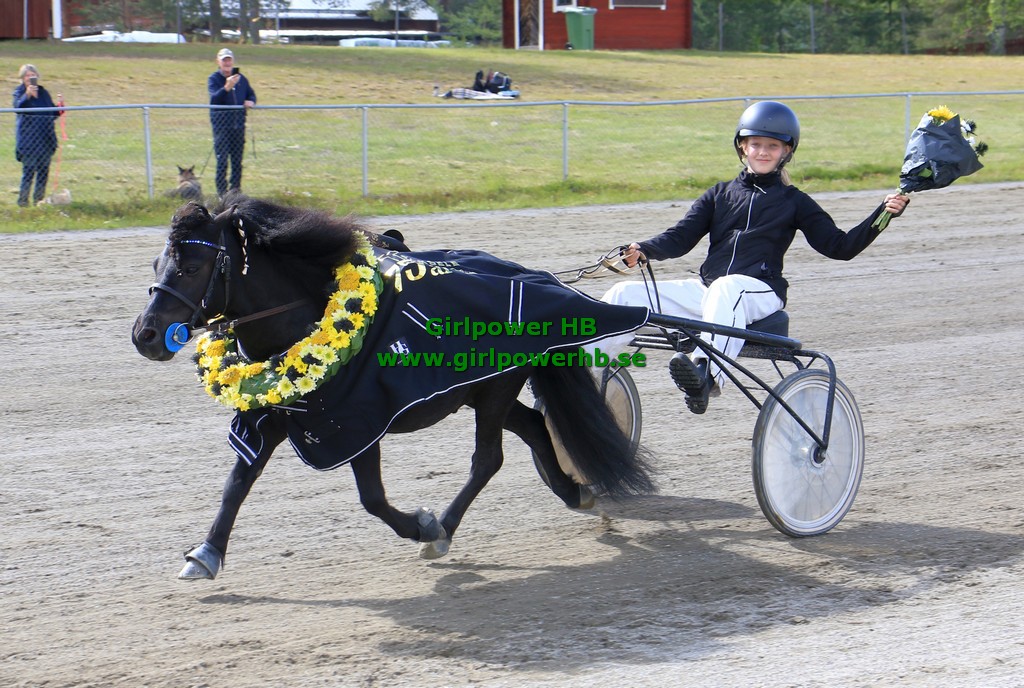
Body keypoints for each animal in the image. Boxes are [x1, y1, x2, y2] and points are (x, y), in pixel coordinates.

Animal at [132, 193, 655, 580]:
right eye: (157, 262)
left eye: (192, 266)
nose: (145, 335)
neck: (306, 315)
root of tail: (531, 274)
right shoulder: (274, 413)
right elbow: (237, 482)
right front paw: (206, 552)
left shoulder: (356, 421)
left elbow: (373, 498)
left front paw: (424, 527)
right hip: (481, 389)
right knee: (534, 427)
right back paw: (574, 491)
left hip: (494, 388)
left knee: (489, 458)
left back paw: (446, 527)